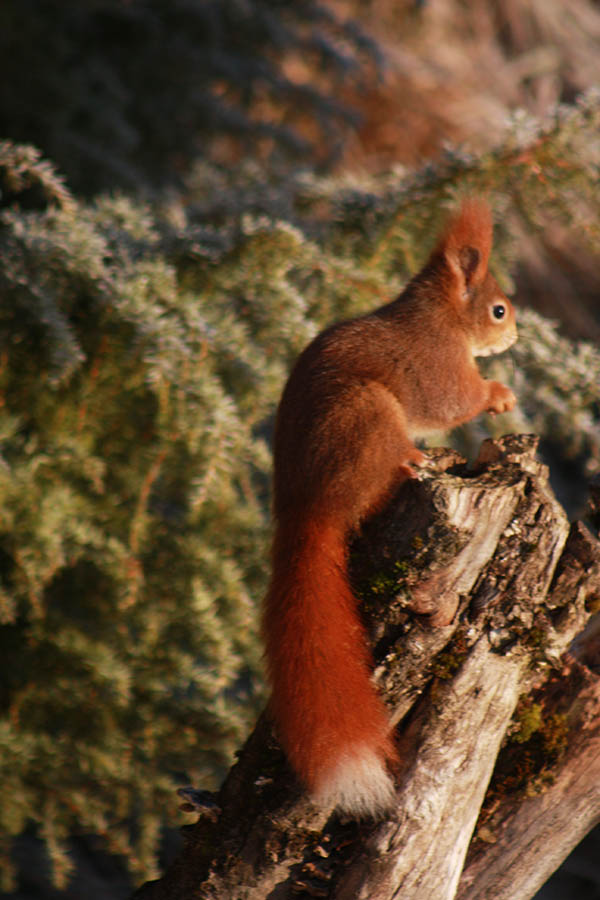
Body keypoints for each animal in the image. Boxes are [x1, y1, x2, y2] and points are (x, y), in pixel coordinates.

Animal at [262, 200, 516, 820]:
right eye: (498, 309)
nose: (515, 333)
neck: (440, 319)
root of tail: (310, 508)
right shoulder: (436, 367)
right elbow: (454, 401)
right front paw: (499, 394)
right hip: (367, 417)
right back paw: (413, 462)